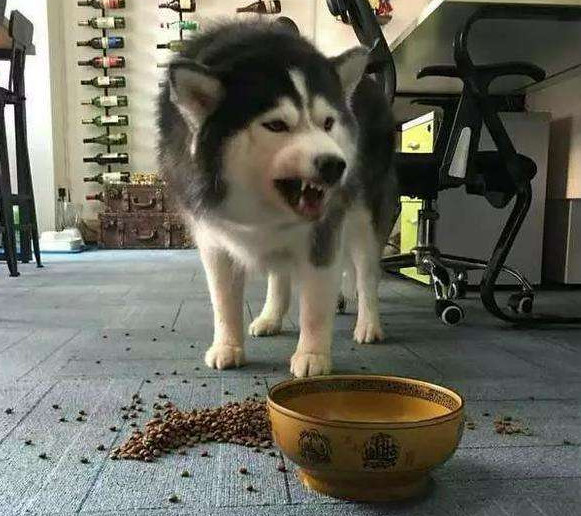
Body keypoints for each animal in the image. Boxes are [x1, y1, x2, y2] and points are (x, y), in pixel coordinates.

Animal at [158, 20, 398, 377]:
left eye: (328, 123)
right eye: (276, 125)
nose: (335, 165)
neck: (260, 211)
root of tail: (368, 83)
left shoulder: (324, 232)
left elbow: (315, 304)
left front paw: (312, 355)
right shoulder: (213, 237)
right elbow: (223, 300)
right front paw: (228, 346)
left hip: (366, 217)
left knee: (367, 273)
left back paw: (369, 324)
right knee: (280, 274)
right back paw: (270, 317)